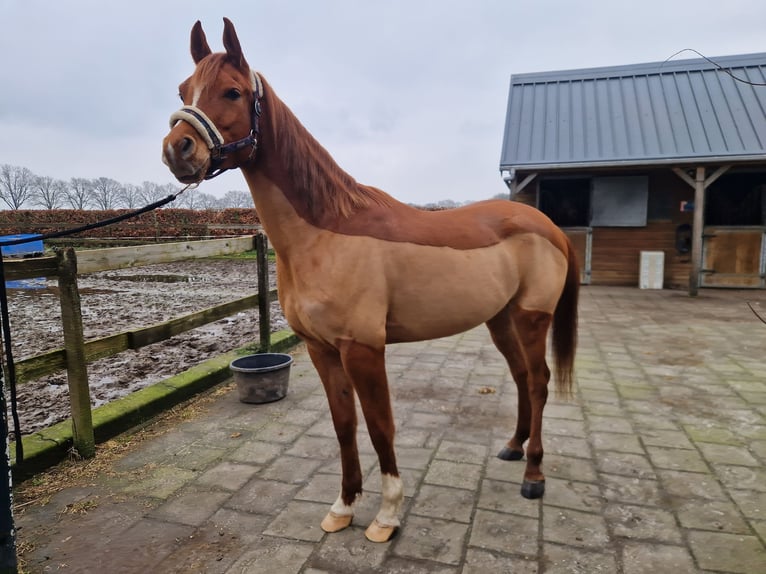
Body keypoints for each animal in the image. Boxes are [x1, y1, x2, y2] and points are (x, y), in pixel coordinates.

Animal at [164, 19, 584, 544]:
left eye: (233, 92)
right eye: (184, 89)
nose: (178, 149)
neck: (325, 231)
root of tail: (548, 227)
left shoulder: (363, 348)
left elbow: (381, 425)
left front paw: (387, 515)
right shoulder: (322, 350)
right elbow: (345, 425)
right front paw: (343, 507)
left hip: (531, 318)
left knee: (541, 381)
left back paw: (534, 475)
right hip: (500, 320)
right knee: (523, 378)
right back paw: (512, 446)